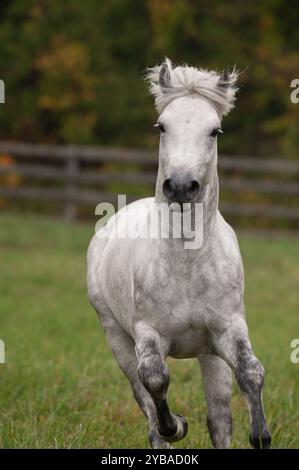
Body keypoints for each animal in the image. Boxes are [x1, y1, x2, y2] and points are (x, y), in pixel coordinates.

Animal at [86, 58, 272, 448]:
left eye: (215, 130)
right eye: (162, 126)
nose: (183, 186)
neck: (186, 264)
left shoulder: (228, 329)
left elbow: (251, 372)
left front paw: (261, 434)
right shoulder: (147, 335)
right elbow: (155, 379)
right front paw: (179, 425)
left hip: (208, 353)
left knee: (219, 419)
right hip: (117, 338)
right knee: (146, 406)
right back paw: (167, 429)